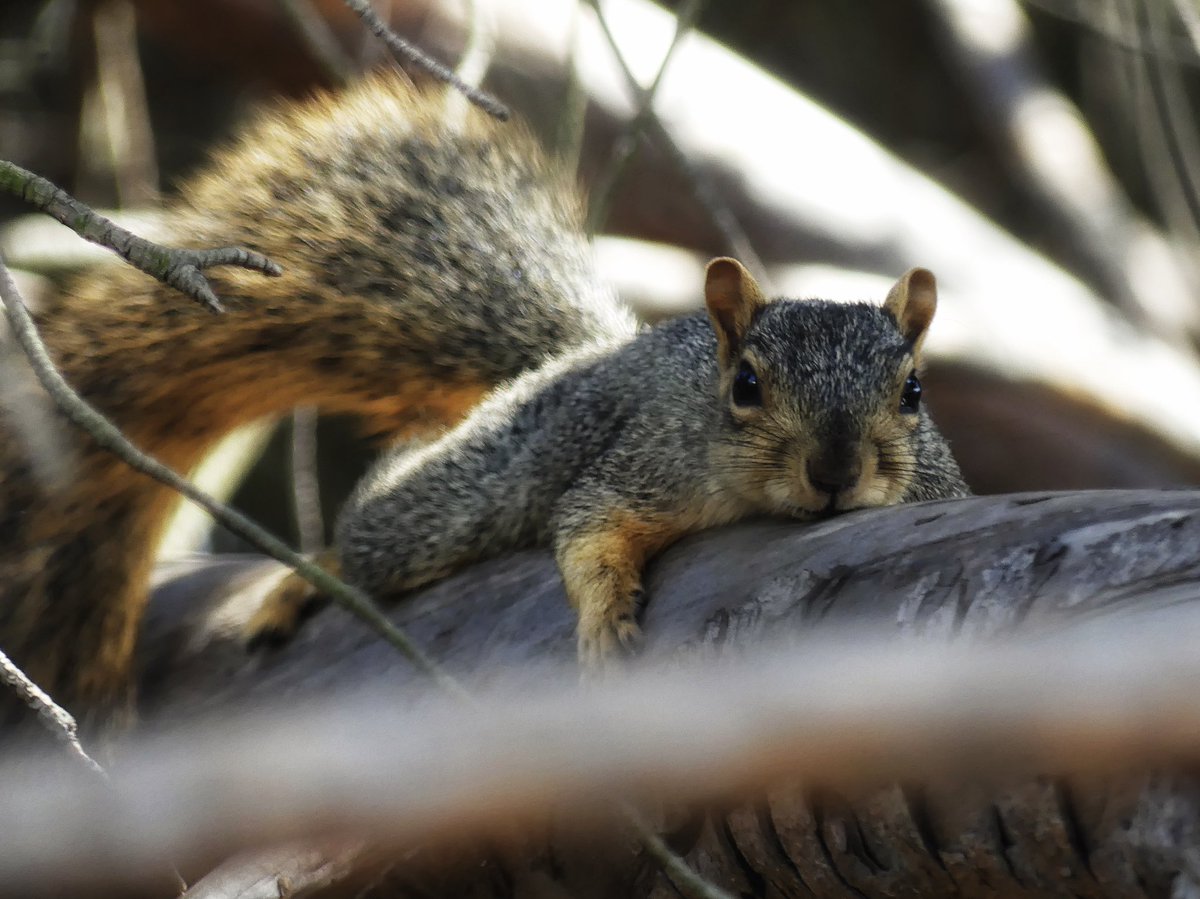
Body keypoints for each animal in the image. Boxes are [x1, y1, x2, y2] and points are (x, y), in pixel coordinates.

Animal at [0, 72, 968, 730]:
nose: (836, 471)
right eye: (747, 386)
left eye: (913, 390)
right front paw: (607, 618)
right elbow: (588, 529)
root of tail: (581, 357)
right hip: (471, 492)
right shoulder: (641, 464)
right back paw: (305, 581)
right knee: (383, 521)